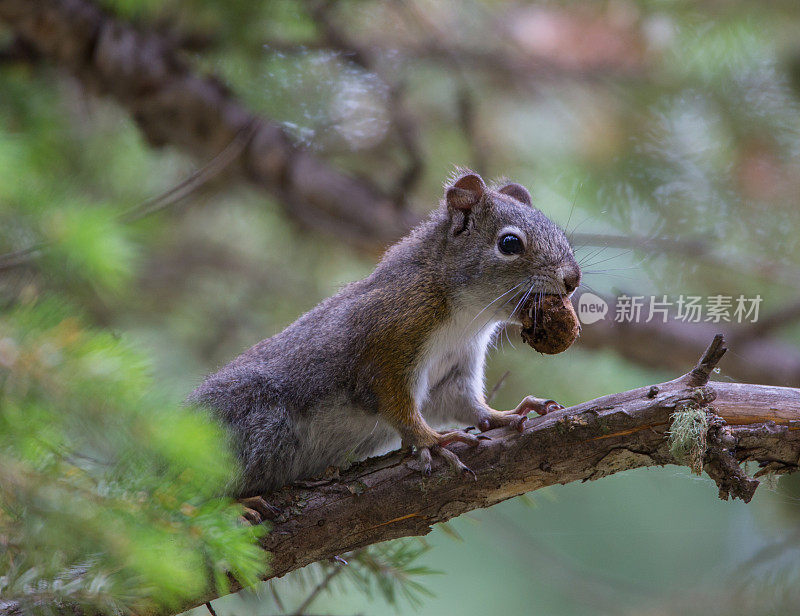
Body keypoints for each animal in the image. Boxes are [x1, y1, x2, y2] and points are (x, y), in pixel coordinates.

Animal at [189, 168, 580, 496]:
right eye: (509, 244)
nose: (572, 280)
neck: (467, 316)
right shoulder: (391, 340)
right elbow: (397, 405)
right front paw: (432, 442)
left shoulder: (455, 368)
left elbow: (464, 403)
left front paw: (505, 414)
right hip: (256, 425)